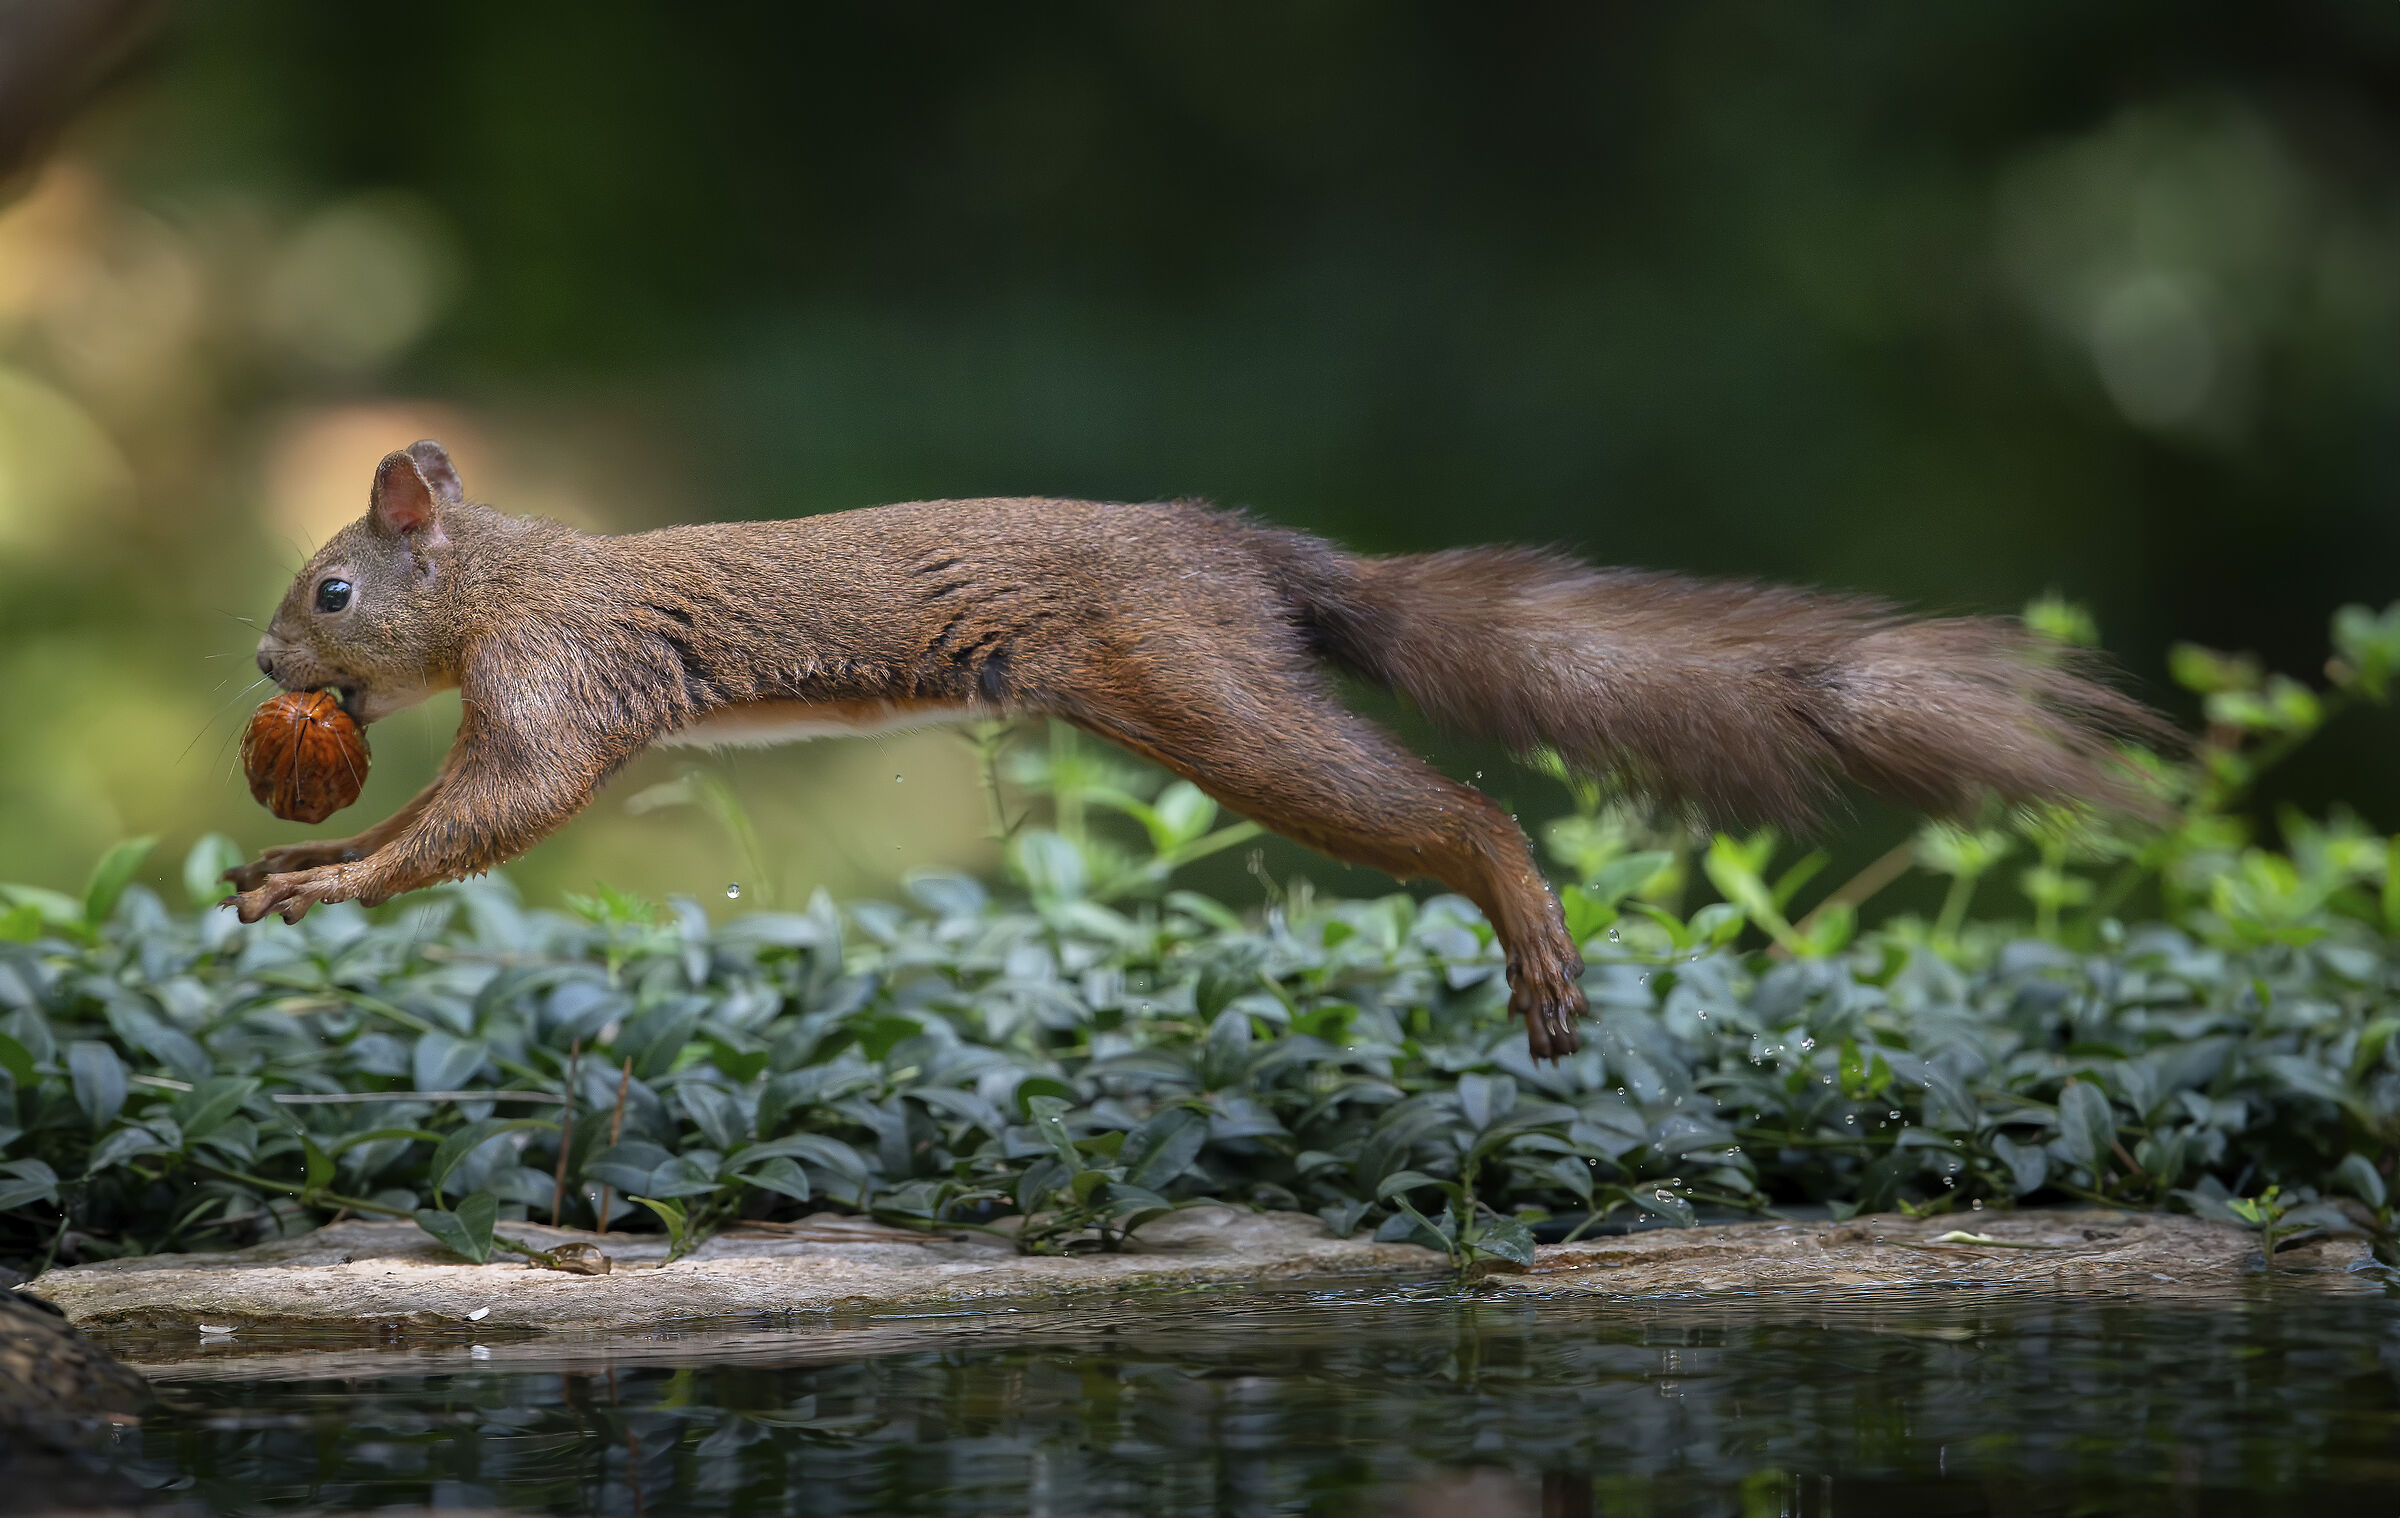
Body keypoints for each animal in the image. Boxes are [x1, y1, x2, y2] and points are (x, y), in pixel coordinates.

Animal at [227, 440, 2162, 1057]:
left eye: (331, 587)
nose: (258, 659)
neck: (506, 575)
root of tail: (1250, 558)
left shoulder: (556, 683)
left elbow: (493, 812)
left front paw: (315, 875)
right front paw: (297, 857)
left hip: (1203, 697)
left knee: (1457, 813)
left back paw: (1529, 931)